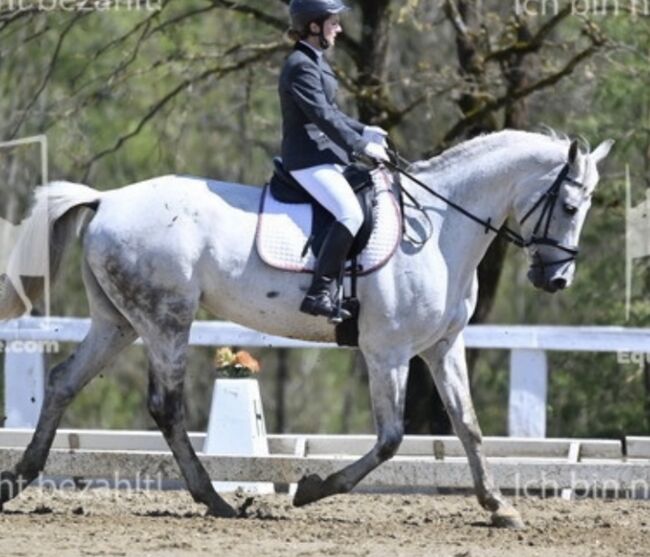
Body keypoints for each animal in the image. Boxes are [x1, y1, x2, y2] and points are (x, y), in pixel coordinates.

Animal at [0, 129, 612, 524]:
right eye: (571, 205)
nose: (556, 279)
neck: (440, 230)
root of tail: (105, 199)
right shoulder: (387, 352)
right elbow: (391, 439)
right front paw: (313, 489)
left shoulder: (442, 347)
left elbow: (468, 427)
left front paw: (498, 507)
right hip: (166, 319)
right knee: (166, 407)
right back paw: (217, 501)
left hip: (118, 323)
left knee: (63, 382)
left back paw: (19, 478)